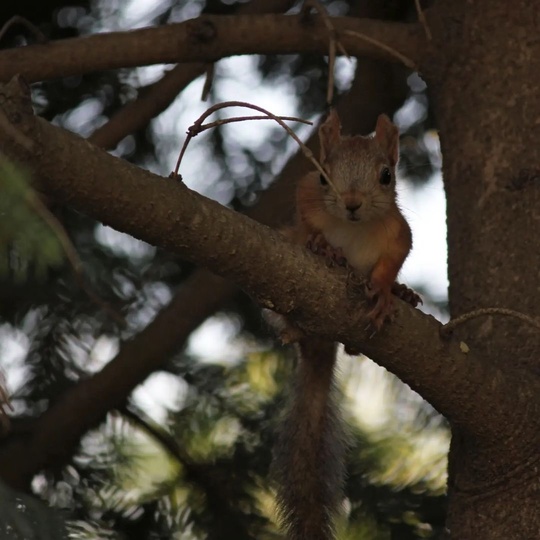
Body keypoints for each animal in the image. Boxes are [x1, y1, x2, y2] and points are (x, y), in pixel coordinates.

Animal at [270, 109, 418, 540]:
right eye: (324, 175)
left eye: (386, 175)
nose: (352, 204)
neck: (353, 229)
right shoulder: (307, 195)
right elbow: (307, 215)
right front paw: (323, 245)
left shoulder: (398, 233)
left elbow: (393, 260)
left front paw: (386, 289)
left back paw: (402, 295)